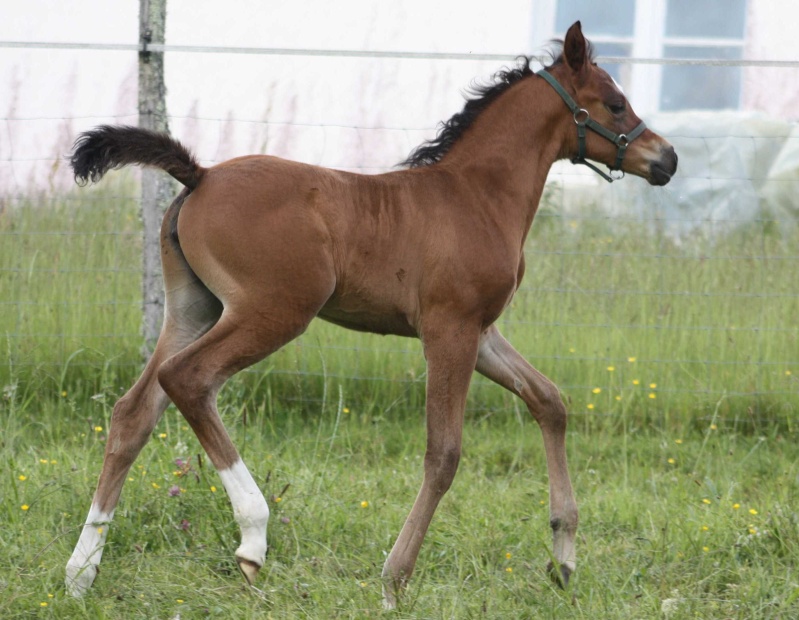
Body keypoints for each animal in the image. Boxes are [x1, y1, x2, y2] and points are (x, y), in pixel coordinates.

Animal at [65, 21, 676, 608]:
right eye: (614, 103)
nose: (666, 158)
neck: (475, 196)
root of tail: (202, 175)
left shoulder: (480, 333)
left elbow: (550, 402)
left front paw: (564, 555)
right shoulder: (449, 330)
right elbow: (444, 453)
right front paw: (394, 579)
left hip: (195, 309)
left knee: (133, 412)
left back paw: (80, 572)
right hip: (274, 312)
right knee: (189, 379)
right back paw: (253, 536)